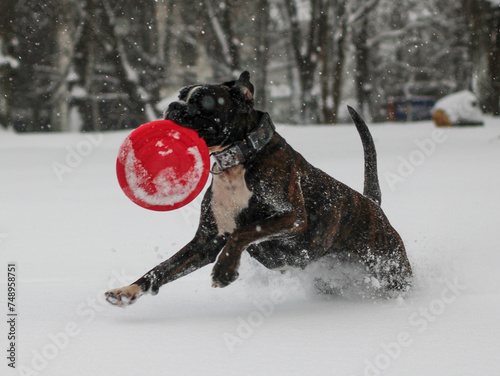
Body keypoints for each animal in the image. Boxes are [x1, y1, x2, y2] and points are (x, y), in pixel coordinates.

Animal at [104, 72, 410, 306]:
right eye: (181, 95)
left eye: (203, 100)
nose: (172, 105)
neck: (236, 160)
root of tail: (372, 204)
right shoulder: (206, 241)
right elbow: (163, 268)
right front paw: (127, 290)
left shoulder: (292, 216)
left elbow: (245, 232)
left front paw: (225, 270)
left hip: (392, 269)